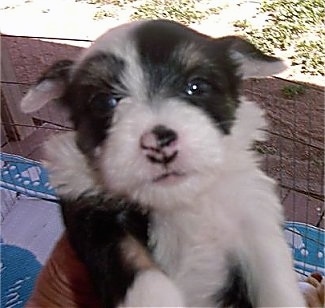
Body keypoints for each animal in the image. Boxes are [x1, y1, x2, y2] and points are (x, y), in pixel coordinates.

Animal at [21, 19, 306, 308]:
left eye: (196, 86)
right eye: (105, 101)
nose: (158, 142)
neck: (179, 201)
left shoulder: (252, 213)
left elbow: (273, 274)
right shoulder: (93, 213)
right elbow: (135, 262)